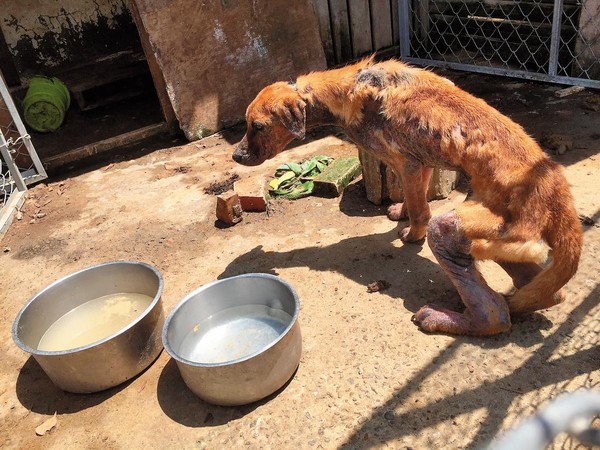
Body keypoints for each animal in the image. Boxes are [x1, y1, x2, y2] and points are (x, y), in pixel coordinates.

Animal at [231, 58, 580, 336]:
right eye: (247, 124)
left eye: (257, 126)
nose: (235, 156)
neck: (344, 89)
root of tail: (560, 199)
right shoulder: (421, 163)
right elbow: (417, 201)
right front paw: (401, 215)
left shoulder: (406, 163)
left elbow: (420, 210)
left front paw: (412, 234)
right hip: (505, 243)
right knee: (548, 294)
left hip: (456, 230)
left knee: (494, 311)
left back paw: (447, 319)